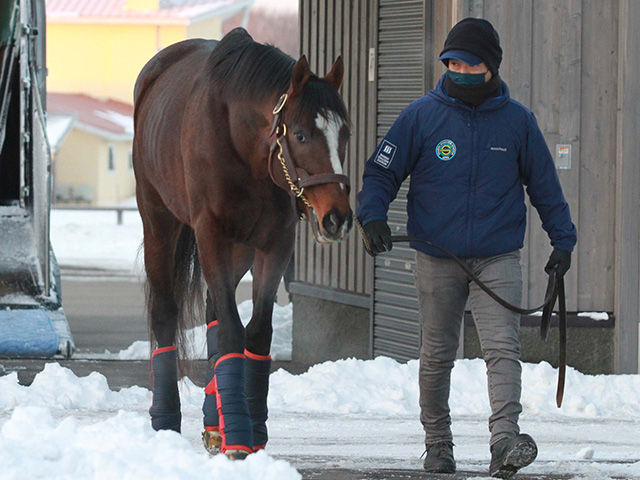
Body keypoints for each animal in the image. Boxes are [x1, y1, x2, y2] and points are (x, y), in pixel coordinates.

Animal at [131, 27, 350, 462]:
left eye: (345, 134)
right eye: (301, 134)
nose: (337, 217)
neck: (241, 143)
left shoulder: (274, 244)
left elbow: (257, 333)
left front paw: (252, 426)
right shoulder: (211, 234)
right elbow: (233, 331)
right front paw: (237, 435)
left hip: (240, 251)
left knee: (215, 309)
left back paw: (212, 421)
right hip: (159, 223)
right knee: (166, 313)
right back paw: (166, 420)